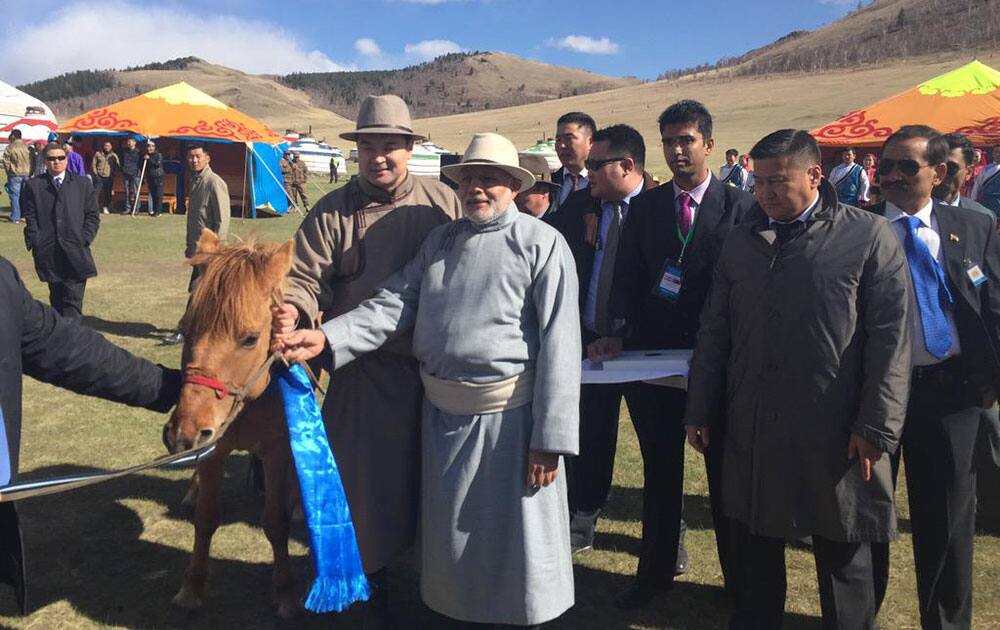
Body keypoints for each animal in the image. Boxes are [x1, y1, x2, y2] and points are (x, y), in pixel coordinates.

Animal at [160, 230, 298, 620]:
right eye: (184, 328)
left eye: (249, 338)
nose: (182, 435)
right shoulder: (213, 446)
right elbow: (206, 519)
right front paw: (192, 587)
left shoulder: (278, 450)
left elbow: (276, 523)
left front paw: (285, 592)